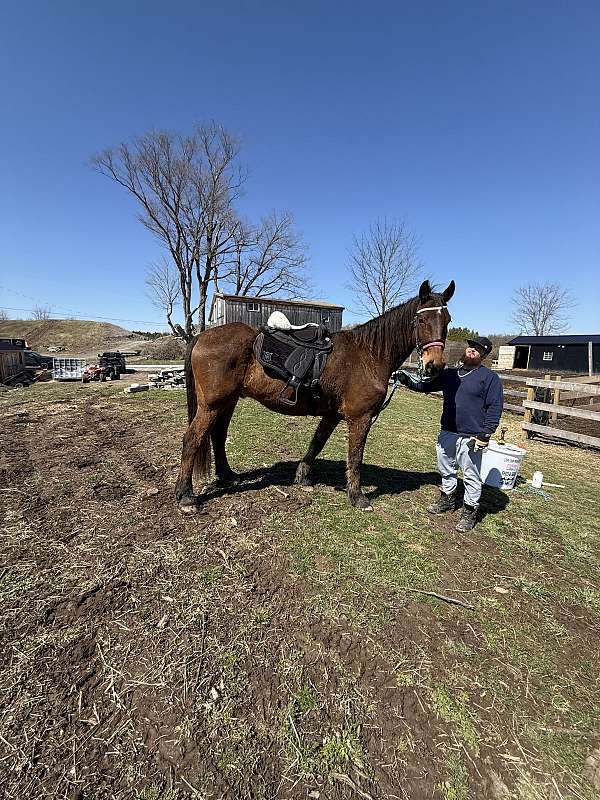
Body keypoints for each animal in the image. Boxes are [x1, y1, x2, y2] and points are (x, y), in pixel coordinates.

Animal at [175, 279, 455, 513]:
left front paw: (303, 476)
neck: (368, 355)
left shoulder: (332, 415)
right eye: (421, 320)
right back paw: (186, 496)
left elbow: (317, 443)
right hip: (212, 404)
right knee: (192, 439)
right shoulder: (360, 418)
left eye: (447, 320)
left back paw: (227, 476)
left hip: (228, 401)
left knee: (218, 436)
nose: (434, 366)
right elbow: (355, 456)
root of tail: (202, 335)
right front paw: (357, 496)